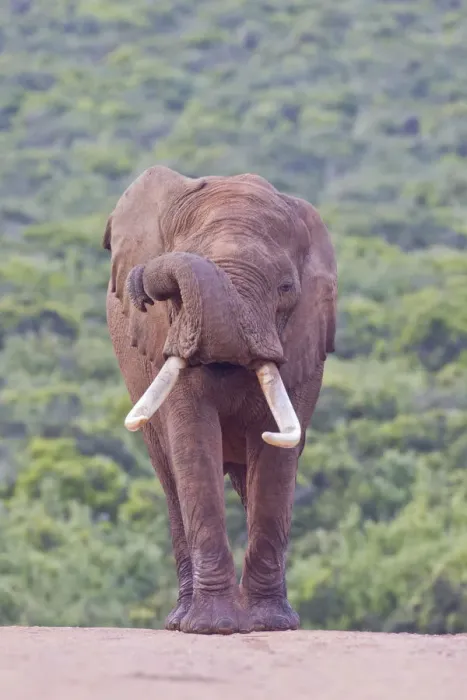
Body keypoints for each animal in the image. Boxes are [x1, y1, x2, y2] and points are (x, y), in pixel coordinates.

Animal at [103, 165, 337, 634]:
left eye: (286, 287)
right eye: (169, 297)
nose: (140, 283)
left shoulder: (302, 341)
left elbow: (275, 455)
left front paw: (268, 626)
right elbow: (193, 441)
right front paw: (213, 628)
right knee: (170, 479)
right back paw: (181, 620)